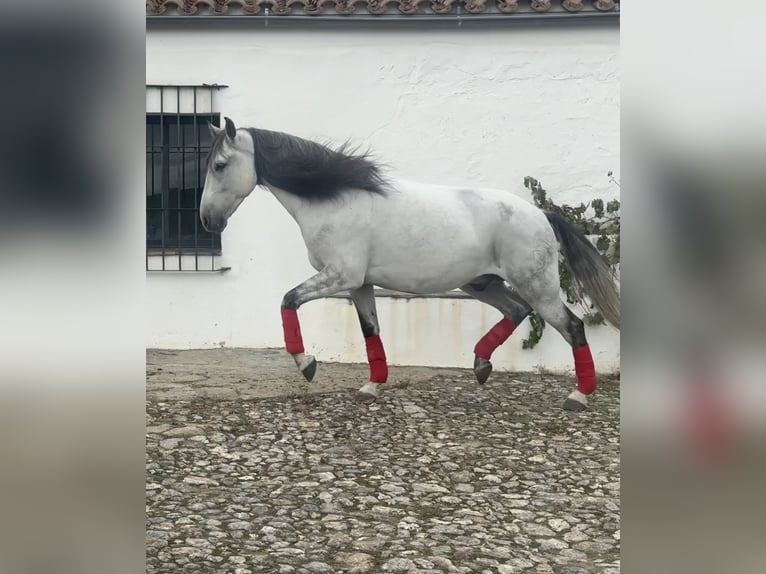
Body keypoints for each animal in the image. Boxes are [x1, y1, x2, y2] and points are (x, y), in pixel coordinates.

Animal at [201, 118, 620, 414]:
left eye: (220, 165)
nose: (208, 221)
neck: (334, 200)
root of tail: (541, 215)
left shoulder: (340, 276)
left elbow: (288, 300)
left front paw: (308, 365)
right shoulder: (359, 284)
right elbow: (370, 331)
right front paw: (371, 387)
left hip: (536, 285)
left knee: (572, 326)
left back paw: (578, 397)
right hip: (482, 283)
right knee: (517, 311)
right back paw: (481, 365)